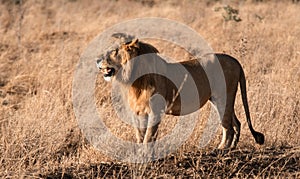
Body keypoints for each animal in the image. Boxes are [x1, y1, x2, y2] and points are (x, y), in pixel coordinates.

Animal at [97, 35, 264, 150]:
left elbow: (149, 135)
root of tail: (235, 60)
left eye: (113, 52)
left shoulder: (156, 110)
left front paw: (145, 153)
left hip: (223, 97)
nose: (97, 60)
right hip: (222, 100)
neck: (134, 80)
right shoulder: (138, 111)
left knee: (227, 126)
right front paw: (139, 152)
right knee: (236, 122)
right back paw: (232, 148)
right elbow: (140, 133)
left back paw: (221, 149)